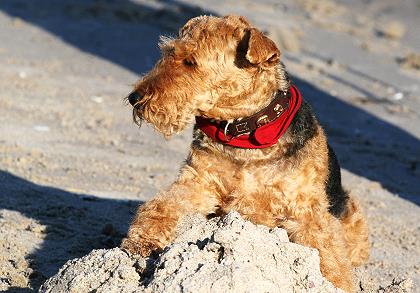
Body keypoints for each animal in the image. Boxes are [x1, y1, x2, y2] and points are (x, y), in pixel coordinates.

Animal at [120, 14, 370, 290]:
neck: (245, 134)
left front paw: (336, 284)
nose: (134, 97)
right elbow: (164, 204)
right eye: (168, 52)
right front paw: (140, 243)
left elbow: (326, 252)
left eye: (191, 61)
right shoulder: (198, 183)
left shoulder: (305, 210)